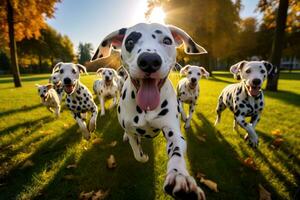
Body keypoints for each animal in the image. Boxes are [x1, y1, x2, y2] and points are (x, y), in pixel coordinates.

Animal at [92, 22, 207, 199]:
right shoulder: (132, 131)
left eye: (167, 41)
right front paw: (143, 156)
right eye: (130, 42)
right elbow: (138, 154)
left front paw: (179, 176)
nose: (149, 60)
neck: (145, 109)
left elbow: (177, 151)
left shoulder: (173, 131)